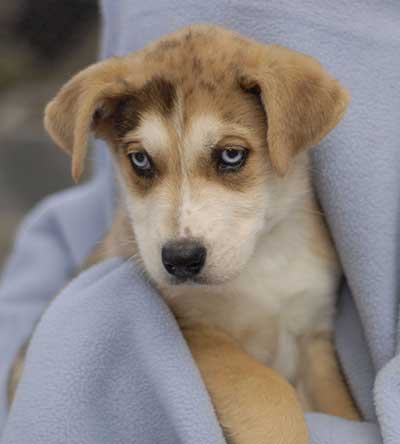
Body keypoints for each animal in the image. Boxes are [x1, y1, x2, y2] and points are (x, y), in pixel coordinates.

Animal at [9, 26, 360, 442]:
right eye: (140, 160)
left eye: (231, 155)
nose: (181, 259)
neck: (260, 260)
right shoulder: (197, 331)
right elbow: (267, 390)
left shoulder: (313, 335)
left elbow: (340, 409)